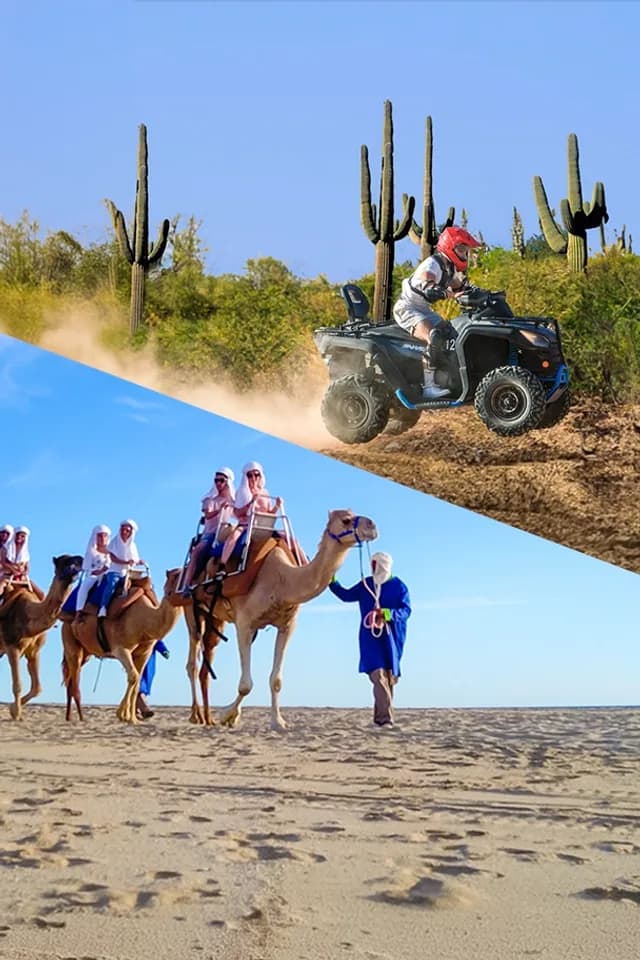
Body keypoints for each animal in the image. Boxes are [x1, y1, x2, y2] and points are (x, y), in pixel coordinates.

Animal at [0, 554, 84, 720]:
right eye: (65, 561)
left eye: (76, 560)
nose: (81, 560)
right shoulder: (12, 647)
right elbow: (17, 685)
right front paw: (16, 713)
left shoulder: (34, 652)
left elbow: (37, 688)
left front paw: (13, 709)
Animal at [61, 568, 182, 724]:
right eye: (177, 576)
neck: (146, 620)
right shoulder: (120, 649)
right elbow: (133, 676)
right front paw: (124, 715)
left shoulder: (145, 653)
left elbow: (137, 681)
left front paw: (132, 718)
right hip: (70, 640)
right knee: (74, 680)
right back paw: (80, 718)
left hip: (86, 652)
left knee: (70, 679)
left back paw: (69, 716)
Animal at [184, 508, 377, 732]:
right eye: (346, 520)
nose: (372, 526)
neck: (281, 579)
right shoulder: (245, 623)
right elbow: (246, 684)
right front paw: (227, 715)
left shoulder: (287, 625)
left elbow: (276, 680)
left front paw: (277, 722)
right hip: (191, 609)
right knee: (192, 660)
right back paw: (195, 716)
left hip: (214, 617)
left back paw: (205, 717)